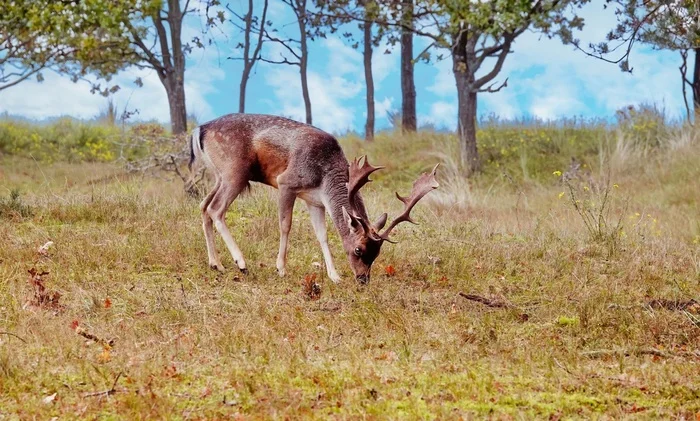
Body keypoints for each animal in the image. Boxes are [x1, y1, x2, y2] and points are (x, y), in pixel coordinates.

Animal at [186, 113, 438, 284]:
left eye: (377, 253)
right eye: (358, 250)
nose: (363, 279)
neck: (324, 176)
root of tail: (200, 129)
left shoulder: (314, 200)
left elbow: (322, 235)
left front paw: (334, 276)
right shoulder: (286, 182)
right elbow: (285, 225)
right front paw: (281, 268)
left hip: (220, 175)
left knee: (203, 205)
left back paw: (216, 264)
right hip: (235, 172)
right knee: (216, 209)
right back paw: (241, 263)